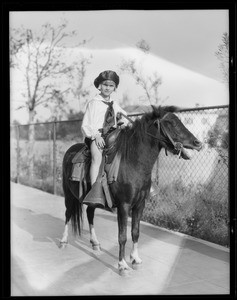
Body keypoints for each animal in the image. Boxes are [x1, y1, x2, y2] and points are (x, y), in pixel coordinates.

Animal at [59, 105, 202, 276]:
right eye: (170, 123)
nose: (197, 143)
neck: (133, 163)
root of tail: (70, 151)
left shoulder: (140, 205)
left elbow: (135, 231)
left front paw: (135, 259)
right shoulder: (124, 206)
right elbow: (122, 236)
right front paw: (122, 265)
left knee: (90, 214)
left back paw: (95, 243)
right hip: (68, 195)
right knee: (68, 214)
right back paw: (63, 241)